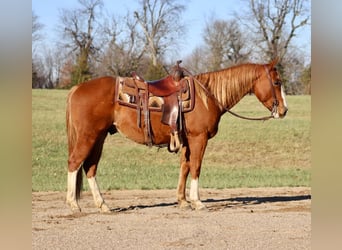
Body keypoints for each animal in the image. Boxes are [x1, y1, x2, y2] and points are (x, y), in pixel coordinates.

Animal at [65, 59, 288, 213]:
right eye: (277, 82)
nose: (284, 110)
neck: (208, 96)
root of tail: (77, 88)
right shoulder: (199, 139)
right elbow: (196, 167)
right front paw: (197, 201)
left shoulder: (187, 141)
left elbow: (185, 167)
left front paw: (182, 200)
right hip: (89, 136)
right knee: (75, 163)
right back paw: (73, 204)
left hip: (99, 137)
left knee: (90, 167)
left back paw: (102, 205)